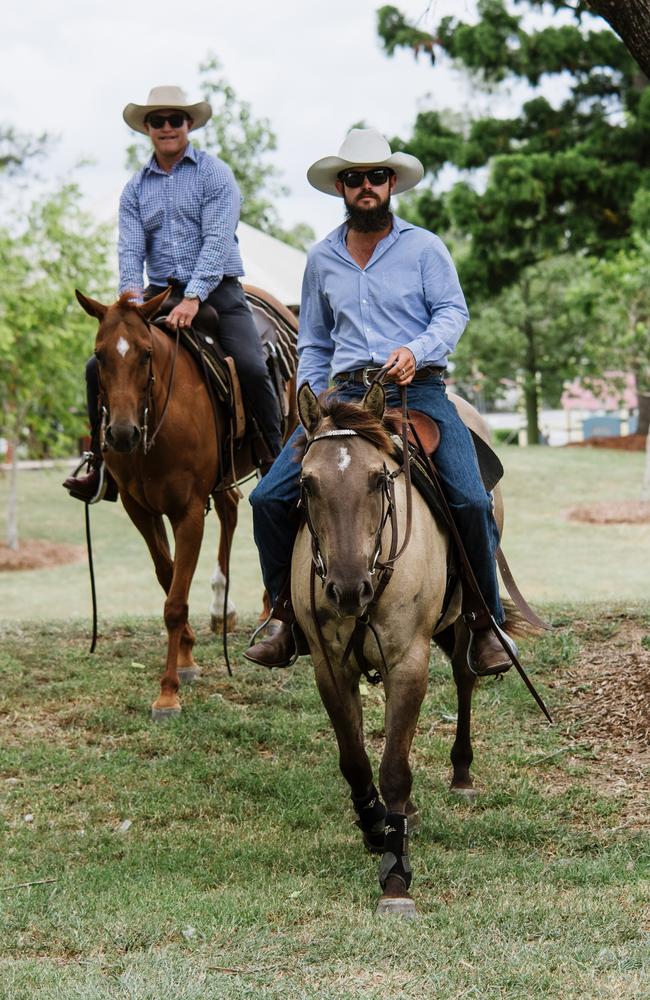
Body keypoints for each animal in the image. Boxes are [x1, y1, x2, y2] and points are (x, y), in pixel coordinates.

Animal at [76, 288, 296, 720]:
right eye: (100, 354)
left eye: (146, 353)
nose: (122, 433)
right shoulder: (139, 509)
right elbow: (168, 576)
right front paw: (187, 655)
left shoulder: (189, 512)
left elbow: (175, 602)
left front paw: (168, 692)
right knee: (231, 507)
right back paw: (223, 607)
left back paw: (273, 615)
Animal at [292, 378, 528, 916]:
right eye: (307, 484)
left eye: (379, 479)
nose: (347, 589)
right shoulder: (330, 666)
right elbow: (356, 758)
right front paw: (375, 824)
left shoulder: (409, 662)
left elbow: (396, 768)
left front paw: (396, 876)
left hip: (464, 619)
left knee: (465, 678)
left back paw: (462, 774)